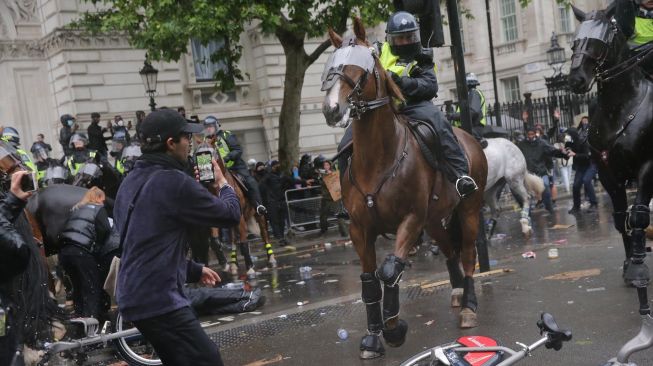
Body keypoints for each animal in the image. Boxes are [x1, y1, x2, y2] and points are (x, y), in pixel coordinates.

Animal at [320, 18, 484, 358]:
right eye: (331, 65)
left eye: (361, 69)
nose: (332, 108)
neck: (378, 160)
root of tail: (470, 138)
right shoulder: (360, 228)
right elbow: (368, 280)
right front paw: (372, 338)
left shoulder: (410, 220)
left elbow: (389, 272)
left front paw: (394, 329)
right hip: (434, 221)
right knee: (449, 250)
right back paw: (457, 291)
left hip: (469, 210)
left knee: (467, 253)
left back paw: (468, 306)